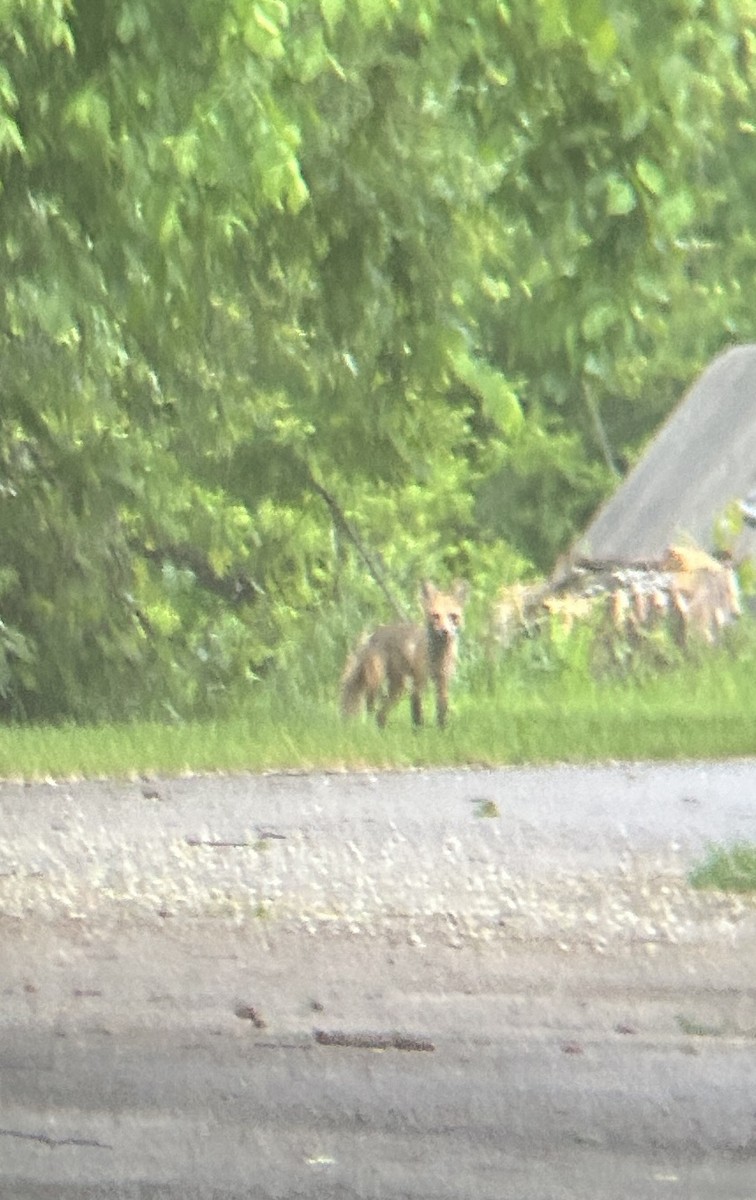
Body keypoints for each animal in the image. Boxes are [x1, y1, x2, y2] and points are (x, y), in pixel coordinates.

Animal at [341, 580, 469, 729]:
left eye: (453, 616)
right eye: (435, 616)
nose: (445, 631)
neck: (436, 658)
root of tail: (373, 634)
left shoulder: (442, 682)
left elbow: (442, 714)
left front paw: (442, 731)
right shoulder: (418, 682)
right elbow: (417, 716)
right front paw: (418, 733)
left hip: (398, 688)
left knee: (380, 713)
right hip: (379, 681)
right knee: (373, 706)